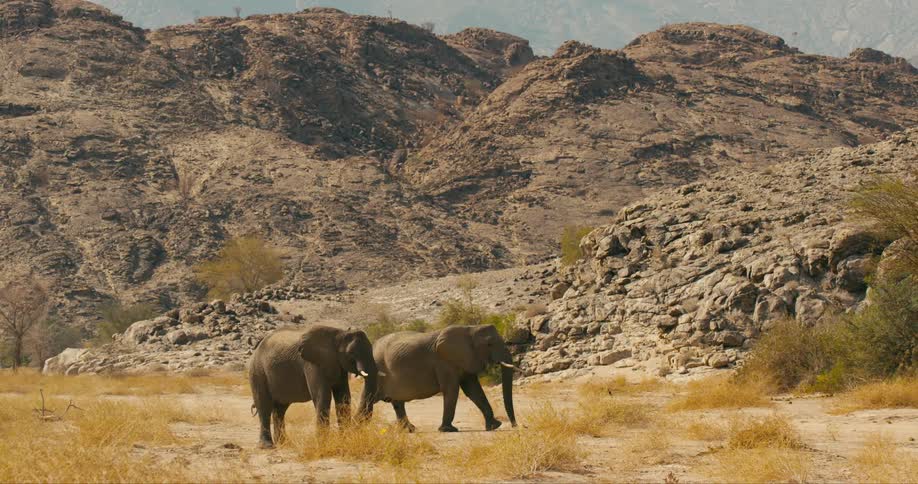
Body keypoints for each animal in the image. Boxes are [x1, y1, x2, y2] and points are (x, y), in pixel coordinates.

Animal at [248, 325, 379, 449]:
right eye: (351, 353)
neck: (339, 334)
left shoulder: (339, 365)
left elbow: (343, 397)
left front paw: (344, 441)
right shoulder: (312, 363)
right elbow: (322, 395)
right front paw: (323, 444)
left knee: (280, 410)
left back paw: (284, 444)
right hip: (257, 371)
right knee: (264, 406)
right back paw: (267, 446)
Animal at [373, 324, 518, 433]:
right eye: (489, 344)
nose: (515, 426)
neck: (470, 329)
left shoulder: (465, 359)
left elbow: (473, 390)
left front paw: (494, 426)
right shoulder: (444, 362)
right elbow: (452, 390)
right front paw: (448, 429)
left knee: (398, 402)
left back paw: (409, 430)